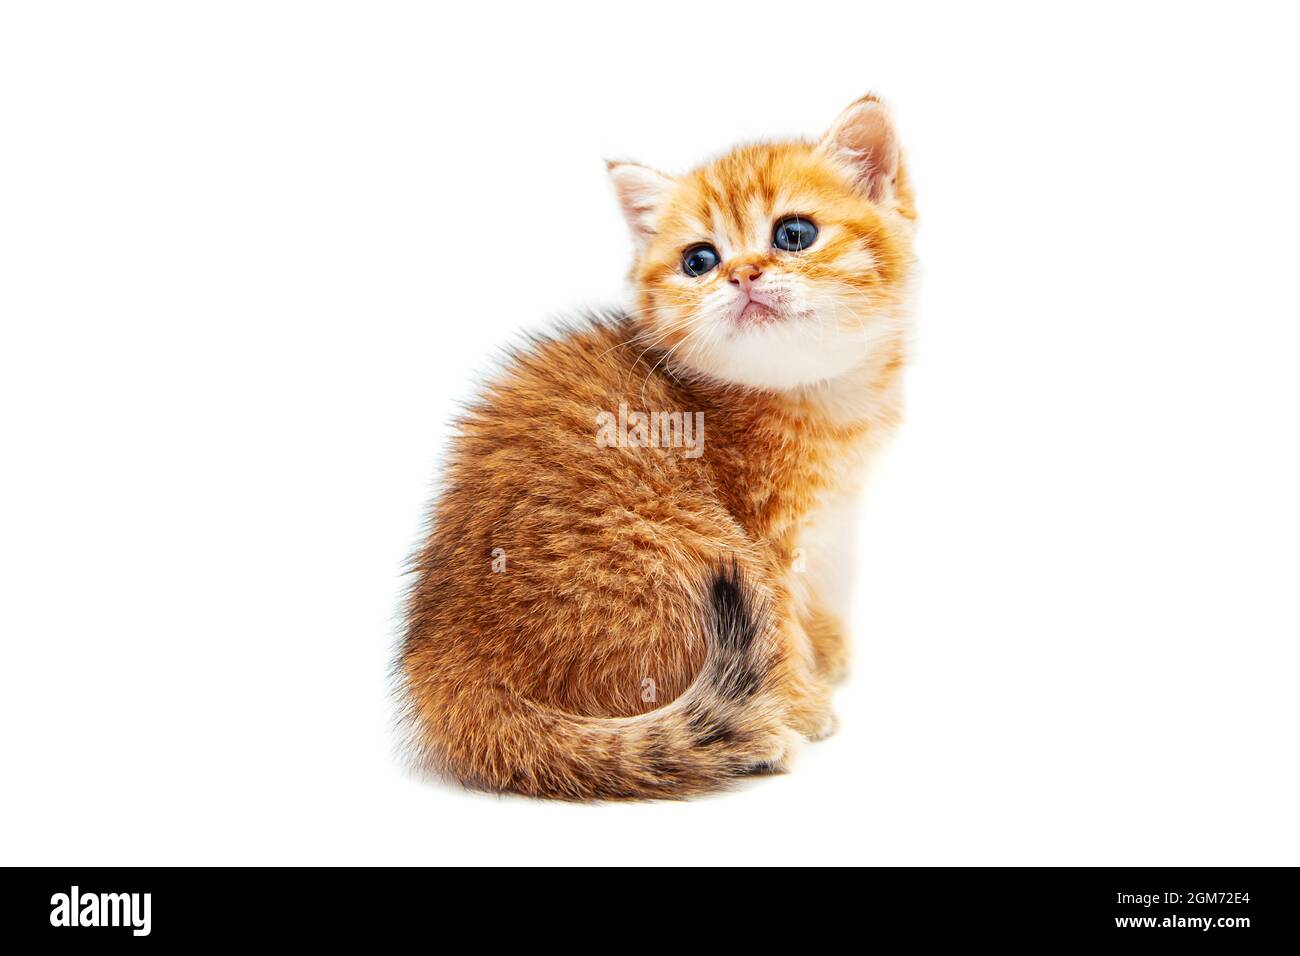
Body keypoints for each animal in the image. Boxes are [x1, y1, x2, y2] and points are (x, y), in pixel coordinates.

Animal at [400, 97, 920, 801]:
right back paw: (759, 734)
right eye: (699, 259)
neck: (813, 393)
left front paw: (829, 648)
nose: (742, 273)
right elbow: (780, 625)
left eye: (794, 234)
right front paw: (804, 701)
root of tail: (447, 668)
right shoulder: (762, 542)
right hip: (690, 548)